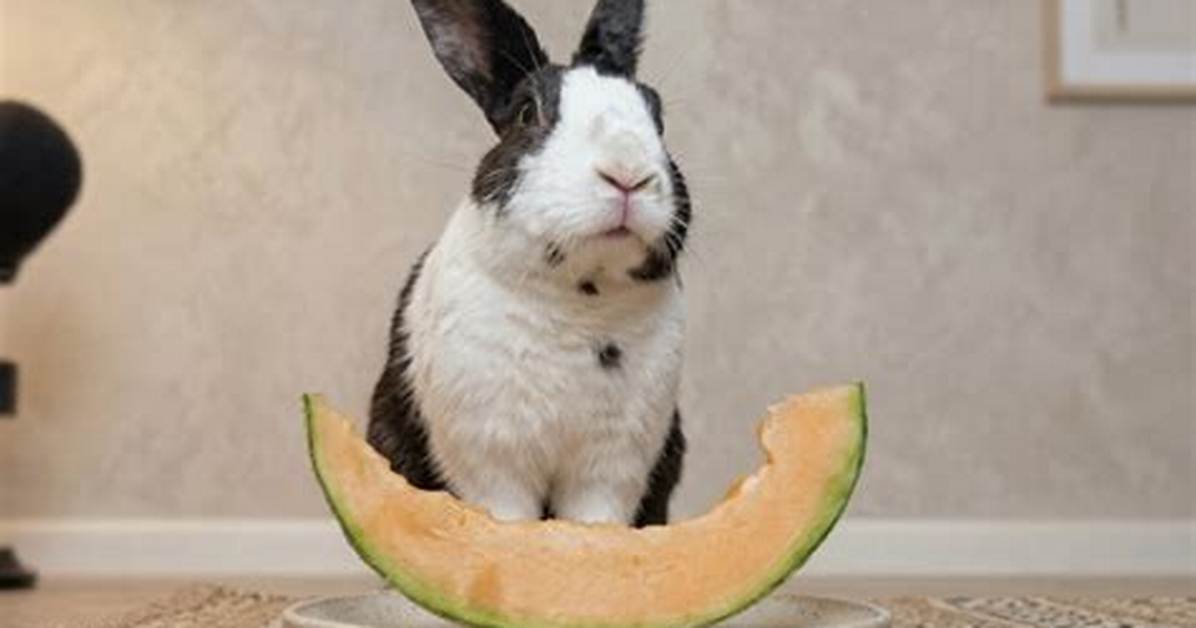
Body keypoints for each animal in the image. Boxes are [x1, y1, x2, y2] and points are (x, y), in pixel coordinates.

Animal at [368, 0, 690, 528]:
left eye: (657, 115)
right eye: (527, 112)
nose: (627, 174)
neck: (579, 299)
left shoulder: (614, 466)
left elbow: (597, 525)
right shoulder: (490, 455)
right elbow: (507, 521)